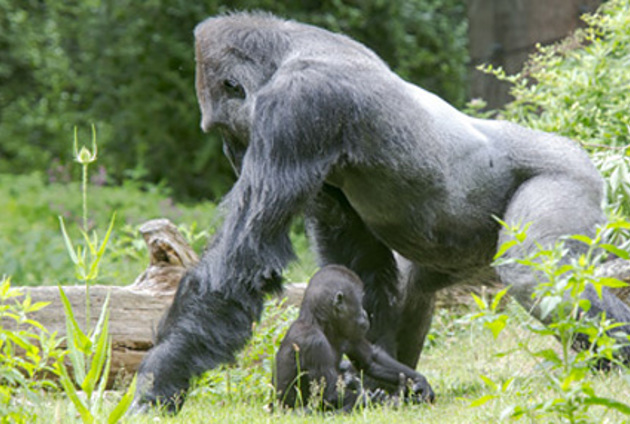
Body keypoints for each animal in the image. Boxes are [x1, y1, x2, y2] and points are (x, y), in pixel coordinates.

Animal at [273, 265, 433, 410]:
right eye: (360, 302)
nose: (364, 313)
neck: (320, 322)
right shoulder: (313, 341)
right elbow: (330, 393)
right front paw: (380, 399)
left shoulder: (349, 333)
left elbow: (370, 359)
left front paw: (420, 382)